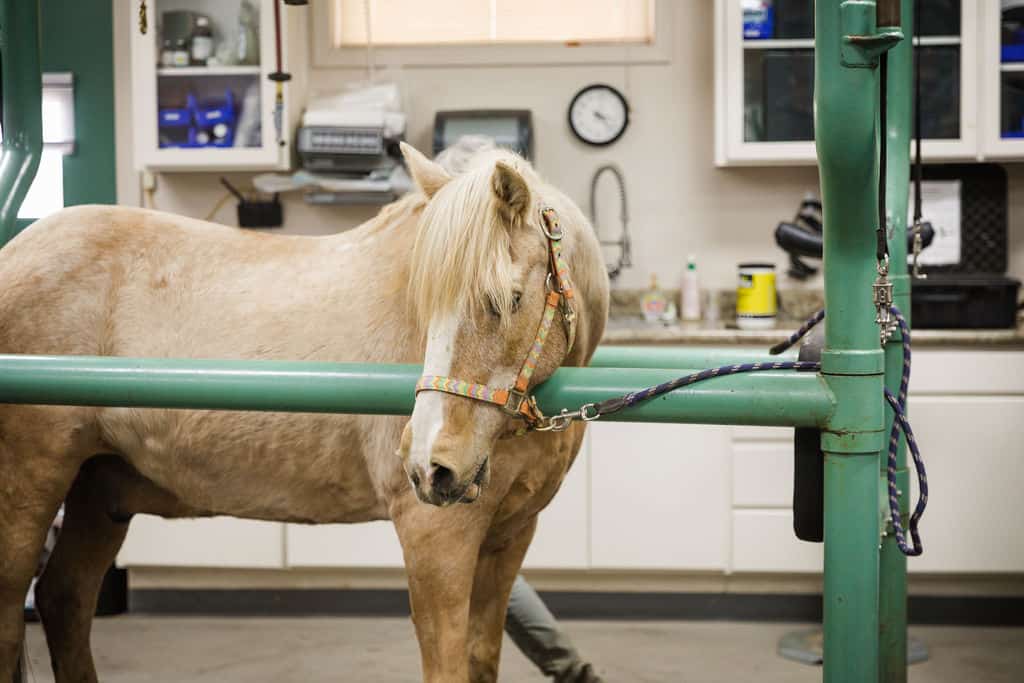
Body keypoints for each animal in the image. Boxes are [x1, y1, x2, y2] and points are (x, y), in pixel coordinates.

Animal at [0, 141, 606, 679]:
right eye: (425, 306)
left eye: (508, 301)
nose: (430, 464)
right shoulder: (436, 538)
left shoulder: (509, 538)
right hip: (30, 492)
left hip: (98, 493)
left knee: (64, 598)